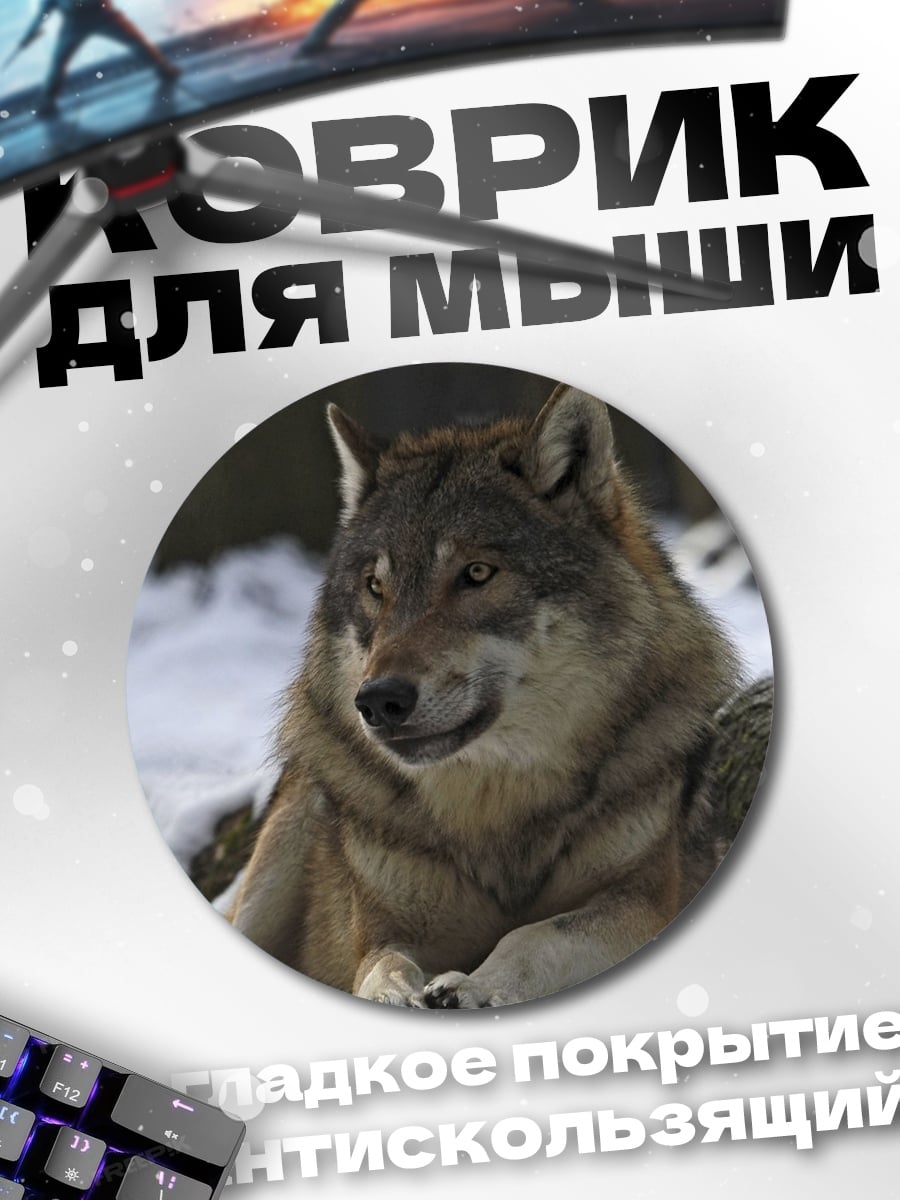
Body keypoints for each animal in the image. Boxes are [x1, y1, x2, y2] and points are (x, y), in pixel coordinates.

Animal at [229, 384, 745, 1007]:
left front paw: (473, 986)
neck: (496, 813)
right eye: (375, 587)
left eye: (476, 573)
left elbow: (534, 935)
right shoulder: (380, 928)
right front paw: (399, 994)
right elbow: (381, 967)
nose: (377, 701)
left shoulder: (645, 903)